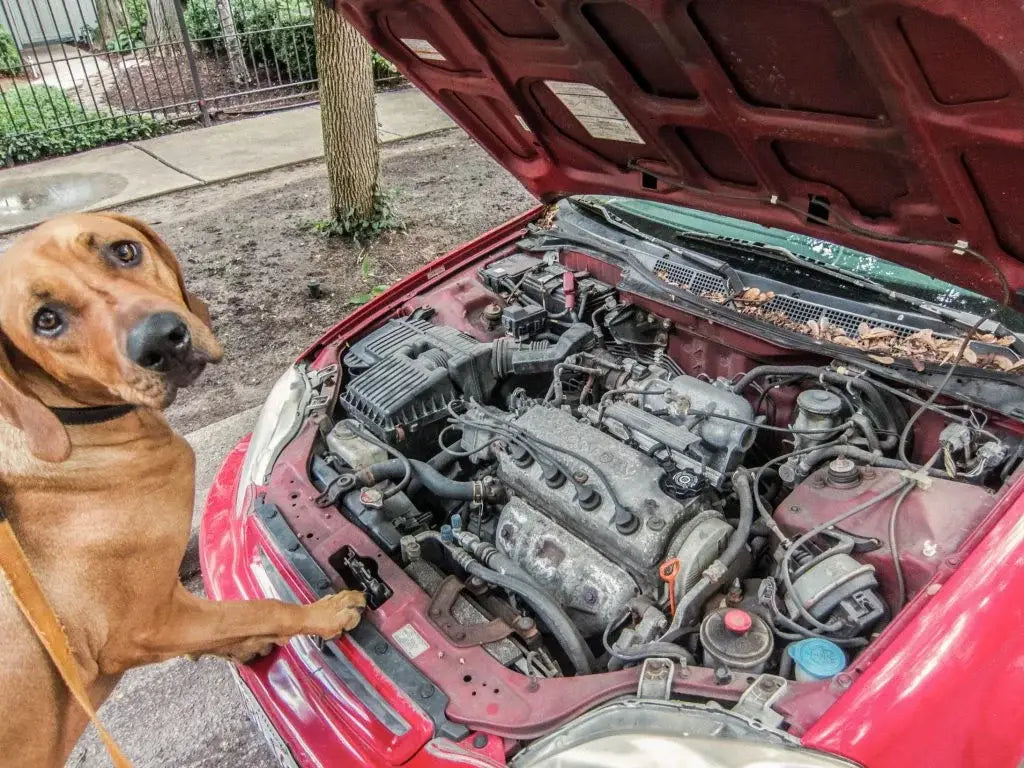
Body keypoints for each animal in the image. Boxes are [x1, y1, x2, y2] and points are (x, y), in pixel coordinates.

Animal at [0, 211, 366, 768]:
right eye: (46, 320)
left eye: (124, 251)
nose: (161, 341)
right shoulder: (141, 627)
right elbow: (262, 607)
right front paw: (324, 614)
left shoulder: (161, 613)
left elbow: (232, 620)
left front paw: (247, 646)